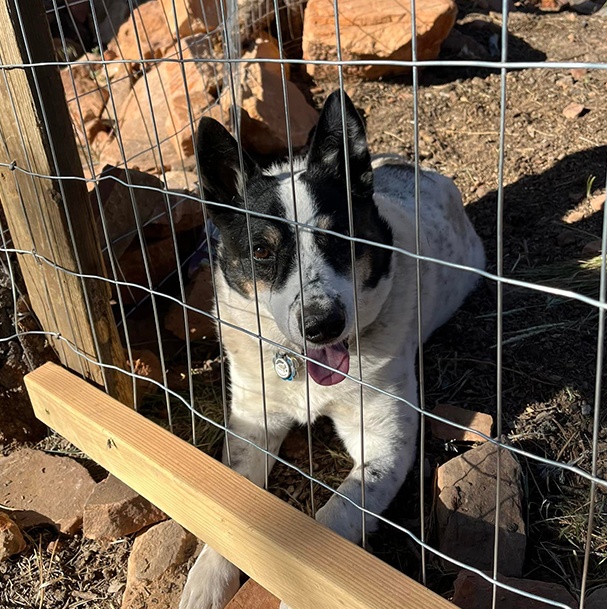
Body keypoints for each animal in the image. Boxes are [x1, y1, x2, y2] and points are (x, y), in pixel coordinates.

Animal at [178, 90, 486, 608]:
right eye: (261, 251)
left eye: (339, 237)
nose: (323, 324)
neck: (302, 367)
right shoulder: (253, 421)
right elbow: (233, 500)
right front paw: (205, 580)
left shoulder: (385, 443)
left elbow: (334, 518)